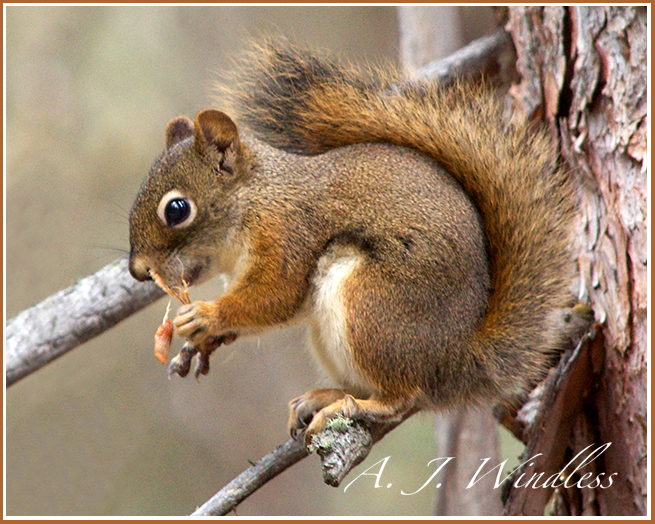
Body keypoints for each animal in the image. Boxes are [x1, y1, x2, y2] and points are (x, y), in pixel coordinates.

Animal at [129, 43, 596, 446]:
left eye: (177, 209)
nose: (137, 272)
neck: (255, 199)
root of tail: (454, 360)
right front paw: (204, 342)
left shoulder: (287, 233)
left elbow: (274, 296)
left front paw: (206, 316)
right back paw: (326, 396)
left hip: (370, 306)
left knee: (401, 395)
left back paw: (355, 406)